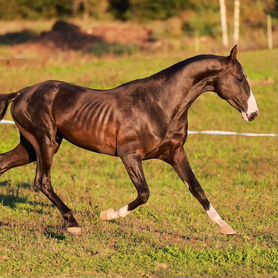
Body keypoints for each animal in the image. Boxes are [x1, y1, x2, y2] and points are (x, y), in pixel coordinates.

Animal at [0, 45, 258, 235]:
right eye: (239, 78)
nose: (253, 114)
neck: (159, 105)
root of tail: (21, 93)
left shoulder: (175, 153)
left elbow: (197, 189)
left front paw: (226, 227)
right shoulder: (129, 155)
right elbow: (144, 194)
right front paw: (107, 215)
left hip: (31, 147)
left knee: (5, 164)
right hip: (46, 142)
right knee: (42, 181)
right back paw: (73, 223)